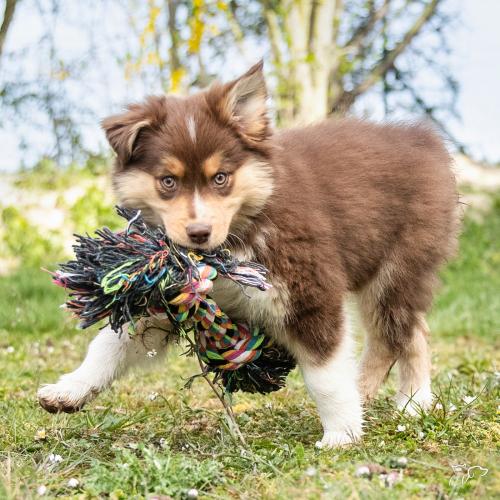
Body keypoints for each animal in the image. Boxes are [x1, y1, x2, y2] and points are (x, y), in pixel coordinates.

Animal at [39, 60, 458, 448]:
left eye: (220, 178)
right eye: (167, 181)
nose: (199, 233)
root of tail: (423, 139)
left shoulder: (308, 290)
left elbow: (325, 375)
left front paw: (342, 433)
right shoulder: (166, 295)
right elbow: (110, 344)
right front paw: (68, 390)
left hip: (397, 268)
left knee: (401, 333)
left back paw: (406, 400)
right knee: (403, 332)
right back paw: (380, 395)